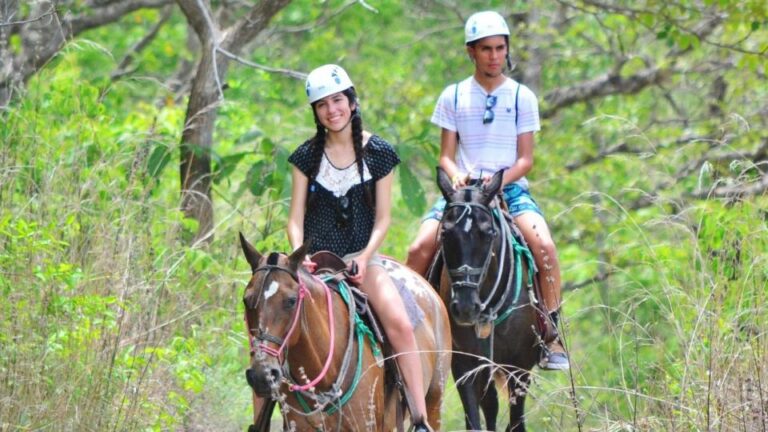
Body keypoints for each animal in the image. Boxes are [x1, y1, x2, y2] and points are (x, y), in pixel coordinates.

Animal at [432, 167, 544, 430]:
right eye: (445, 233)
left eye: (489, 233)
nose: (465, 308)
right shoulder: (464, 363)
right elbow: (475, 419)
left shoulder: (520, 365)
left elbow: (516, 423)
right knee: (490, 404)